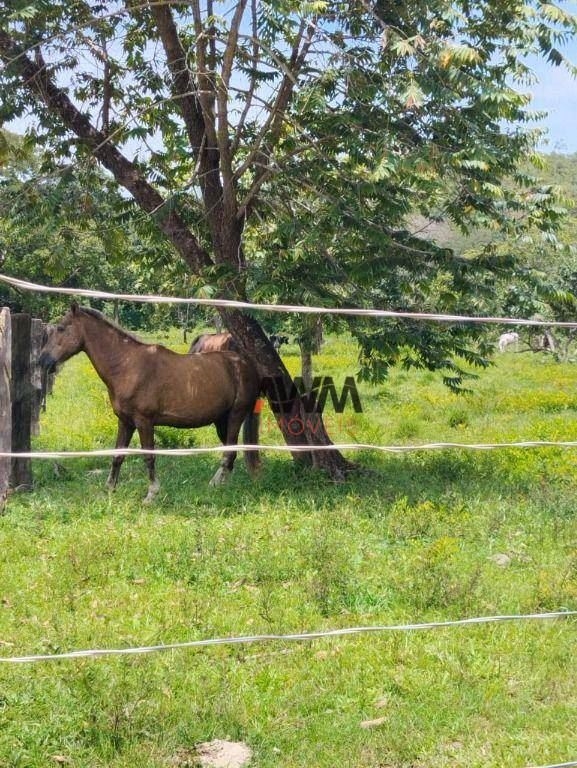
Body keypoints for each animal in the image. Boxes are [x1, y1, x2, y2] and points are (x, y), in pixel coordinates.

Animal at [41, 304, 264, 500]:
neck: (128, 366)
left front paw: (152, 494)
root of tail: (246, 364)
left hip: (235, 415)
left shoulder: (144, 422)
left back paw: (215, 484)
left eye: (61, 328)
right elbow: (118, 455)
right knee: (230, 453)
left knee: (229, 452)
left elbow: (149, 457)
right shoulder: (125, 422)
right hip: (221, 420)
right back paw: (223, 485)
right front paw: (110, 490)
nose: (43, 360)